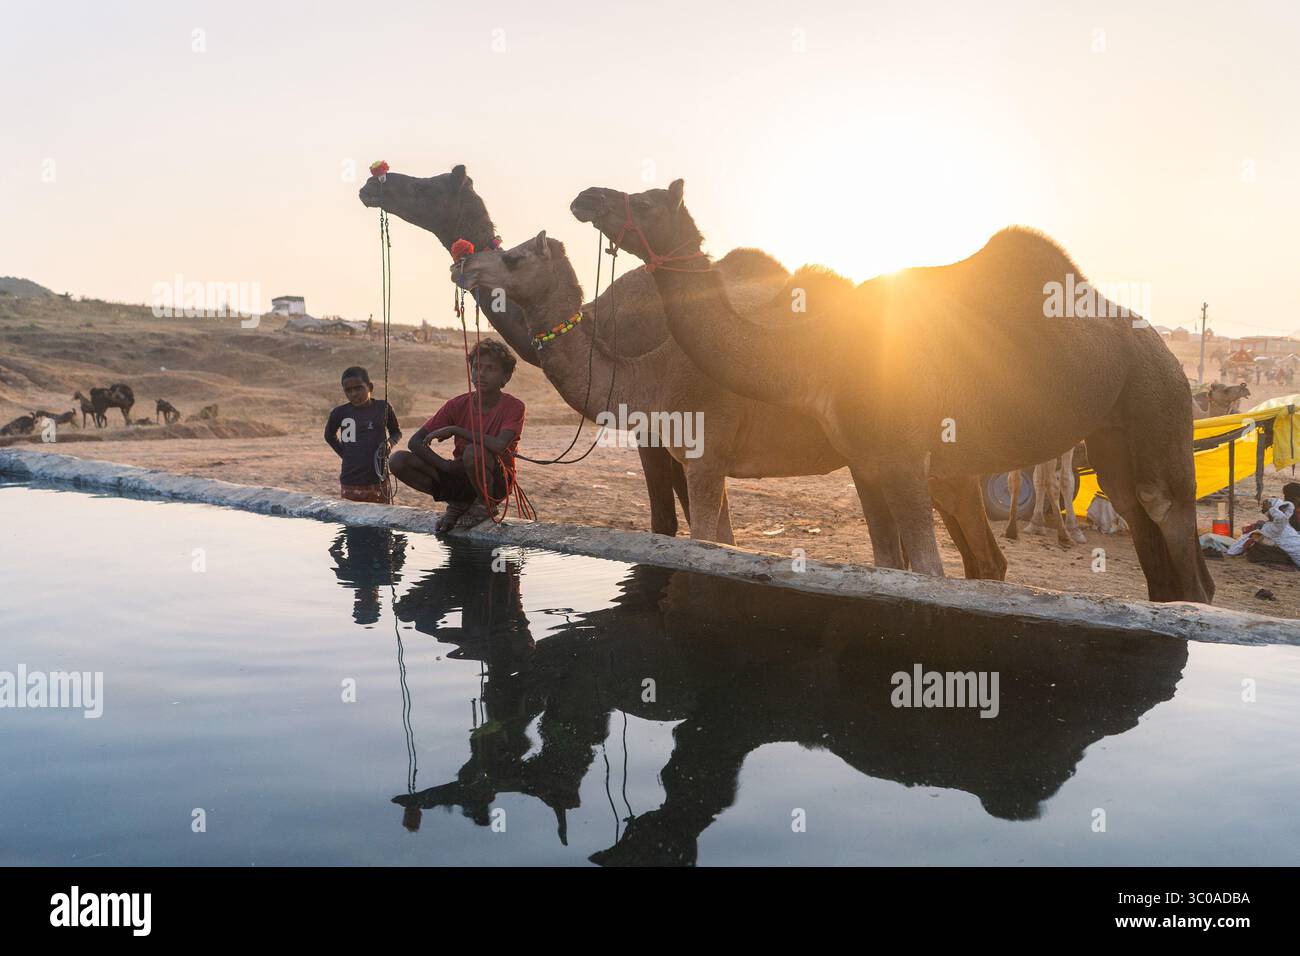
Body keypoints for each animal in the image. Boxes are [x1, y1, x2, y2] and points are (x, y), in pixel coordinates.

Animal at [572, 181, 1213, 603]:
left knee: (1171, 523)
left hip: (1159, 397)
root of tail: (1169, 357)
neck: (819, 350)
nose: (586, 197)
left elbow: (926, 573)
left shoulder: (904, 456)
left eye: (645, 200)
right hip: (1112, 434)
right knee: (1138, 520)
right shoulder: (865, 462)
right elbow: (886, 563)